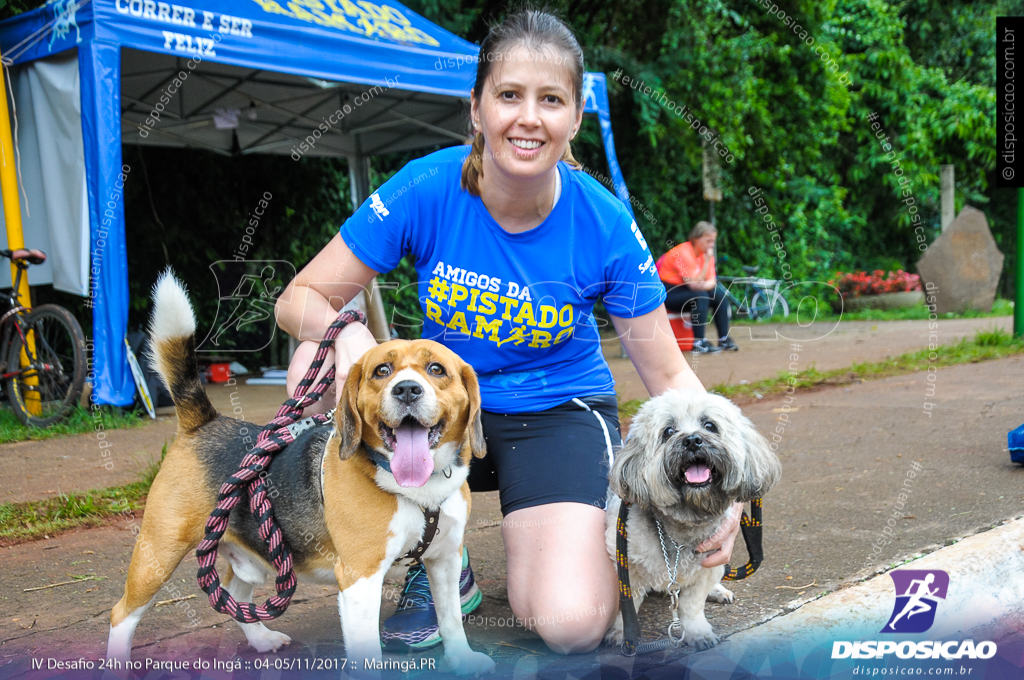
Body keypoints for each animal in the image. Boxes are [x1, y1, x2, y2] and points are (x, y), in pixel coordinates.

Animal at [107, 270, 495, 675]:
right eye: (381, 371)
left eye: (437, 370)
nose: (406, 389)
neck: (418, 490)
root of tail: (204, 422)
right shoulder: (360, 577)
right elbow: (368, 653)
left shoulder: (445, 559)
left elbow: (451, 619)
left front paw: (462, 660)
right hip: (158, 554)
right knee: (122, 615)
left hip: (247, 556)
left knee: (232, 593)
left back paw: (261, 639)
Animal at [602, 387, 778, 647]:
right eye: (668, 431)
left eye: (710, 425)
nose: (692, 440)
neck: (681, 527)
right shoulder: (627, 568)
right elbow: (628, 605)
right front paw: (622, 633)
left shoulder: (708, 567)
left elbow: (691, 604)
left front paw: (697, 632)